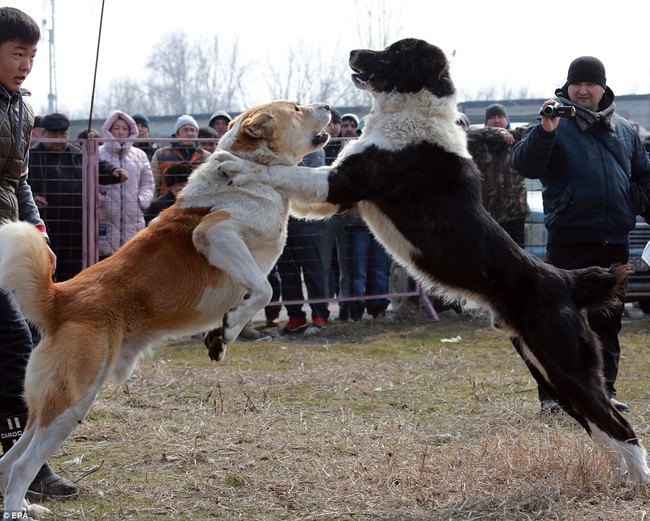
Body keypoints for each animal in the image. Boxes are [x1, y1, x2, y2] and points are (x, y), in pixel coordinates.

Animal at [0, 99, 330, 516]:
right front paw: (228, 327)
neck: (251, 174)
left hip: (53, 404)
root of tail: (62, 297)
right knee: (22, 464)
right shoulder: (215, 234)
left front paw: (223, 335)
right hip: (72, 399)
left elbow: (256, 295)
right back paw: (20, 510)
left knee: (8, 460)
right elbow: (264, 290)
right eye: (297, 108)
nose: (328, 105)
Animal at [220, 37, 644, 484]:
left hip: (565, 365)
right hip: (548, 369)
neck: (412, 112)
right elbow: (290, 177)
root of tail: (565, 279)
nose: (354, 52)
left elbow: (282, 174)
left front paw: (235, 164)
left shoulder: (339, 183)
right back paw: (620, 479)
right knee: (601, 425)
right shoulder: (335, 193)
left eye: (392, 53)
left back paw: (636, 484)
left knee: (618, 424)